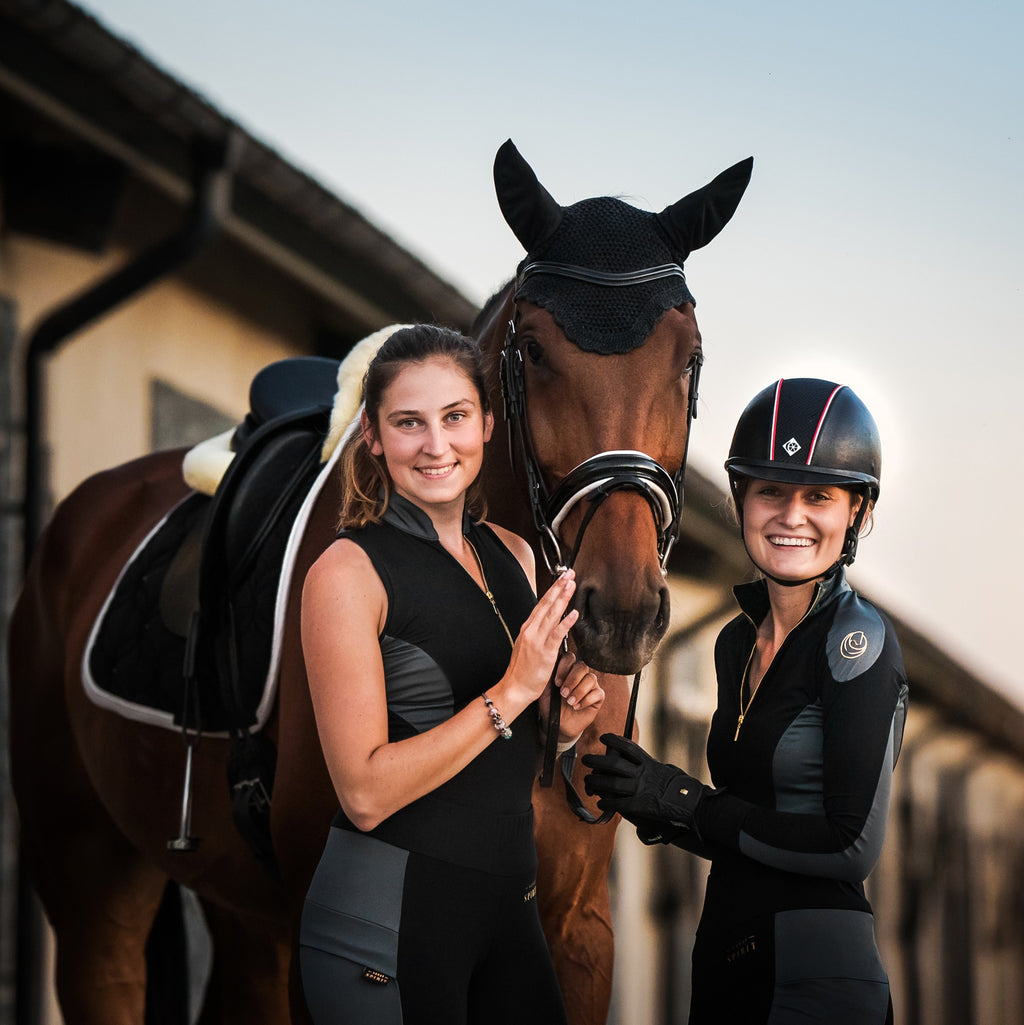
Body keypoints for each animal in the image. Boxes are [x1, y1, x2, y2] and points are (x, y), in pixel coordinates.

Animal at [8, 139, 751, 1025]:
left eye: (690, 358)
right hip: (92, 880)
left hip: (242, 913)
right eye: (534, 351)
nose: (623, 611)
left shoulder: (578, 932)